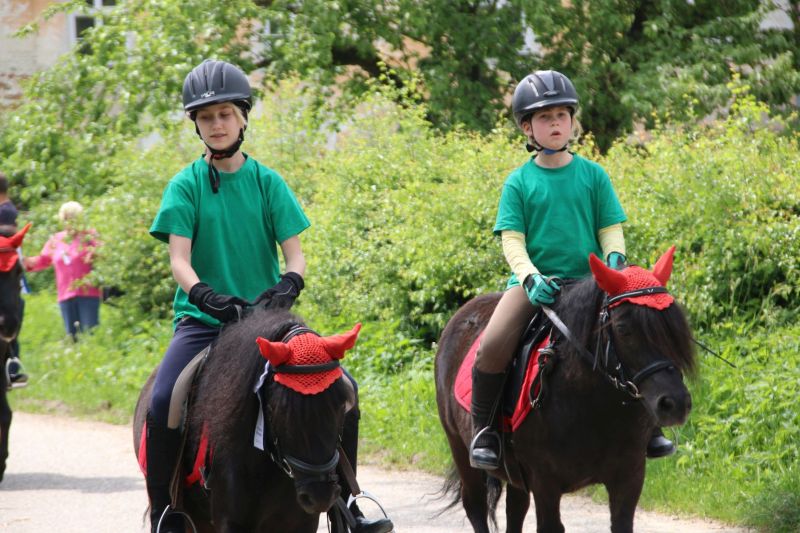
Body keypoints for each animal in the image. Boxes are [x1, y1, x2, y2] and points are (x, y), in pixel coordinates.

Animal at [435, 247, 696, 533]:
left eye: (673, 326)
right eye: (623, 329)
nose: (675, 404)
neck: (593, 405)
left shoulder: (629, 476)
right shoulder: (545, 482)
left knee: (515, 508)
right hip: (460, 449)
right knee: (476, 506)